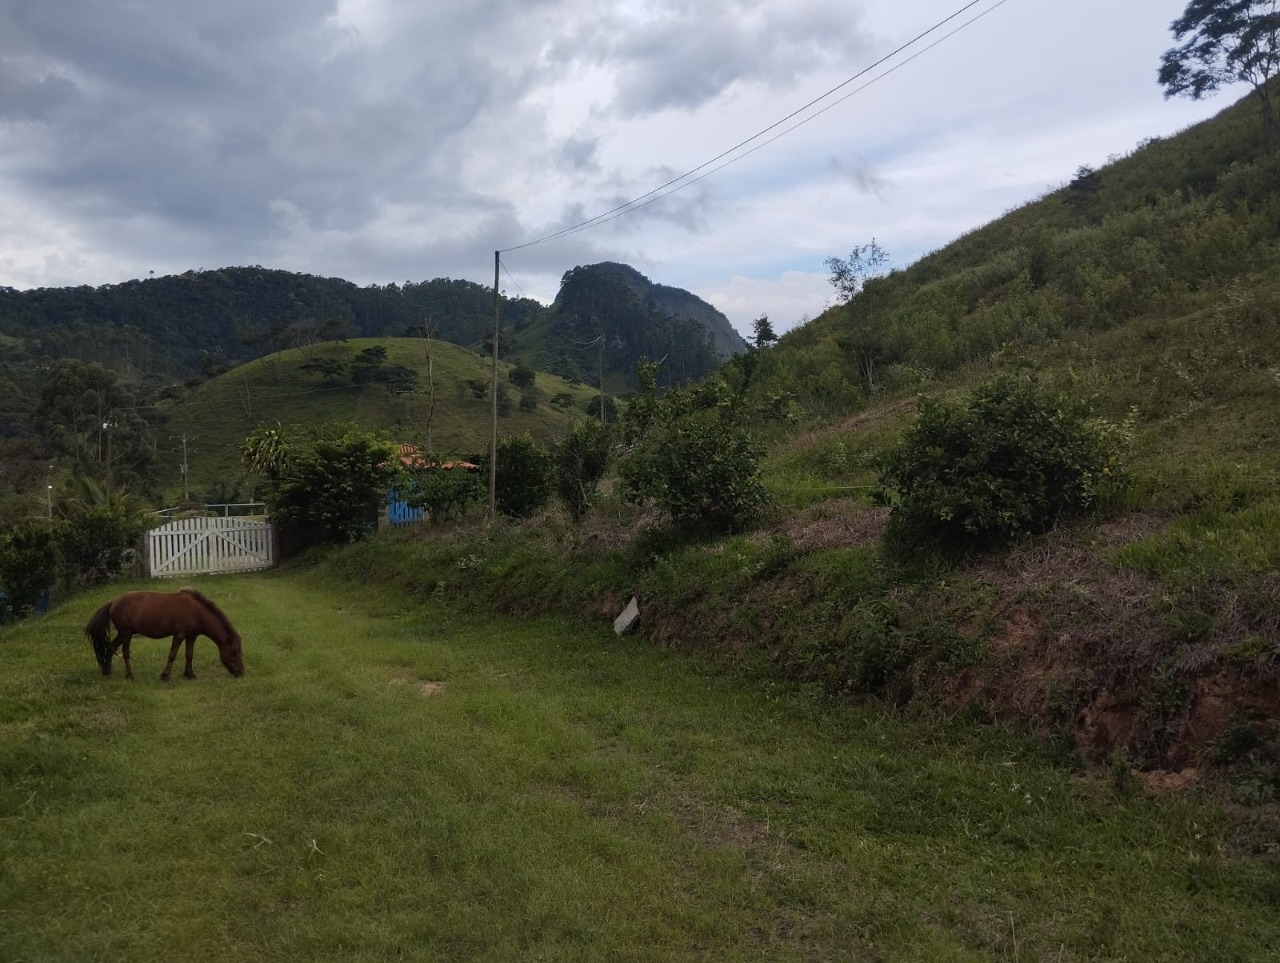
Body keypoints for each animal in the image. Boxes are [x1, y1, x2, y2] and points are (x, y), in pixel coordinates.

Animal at [87, 591, 244, 681]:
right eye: (234, 652)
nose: (241, 673)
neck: (197, 612)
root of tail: (113, 603)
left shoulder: (191, 636)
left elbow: (189, 654)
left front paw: (189, 674)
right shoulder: (179, 635)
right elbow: (172, 655)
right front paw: (165, 675)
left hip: (123, 633)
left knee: (110, 647)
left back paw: (107, 671)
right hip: (126, 634)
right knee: (125, 652)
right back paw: (129, 675)